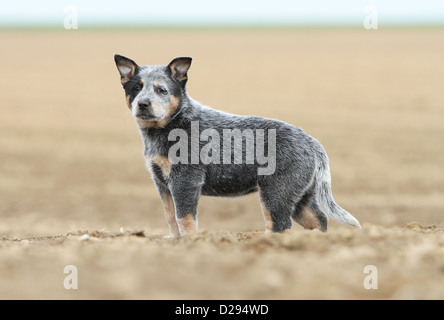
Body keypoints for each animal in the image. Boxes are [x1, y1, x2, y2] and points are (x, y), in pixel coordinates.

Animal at [112, 53, 360, 236]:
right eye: (136, 88)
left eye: (161, 90)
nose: (143, 104)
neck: (171, 125)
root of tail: (313, 143)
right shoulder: (161, 182)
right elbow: (170, 216)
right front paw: (174, 241)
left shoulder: (185, 180)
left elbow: (184, 218)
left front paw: (189, 242)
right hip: (301, 195)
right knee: (319, 219)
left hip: (276, 193)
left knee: (280, 225)